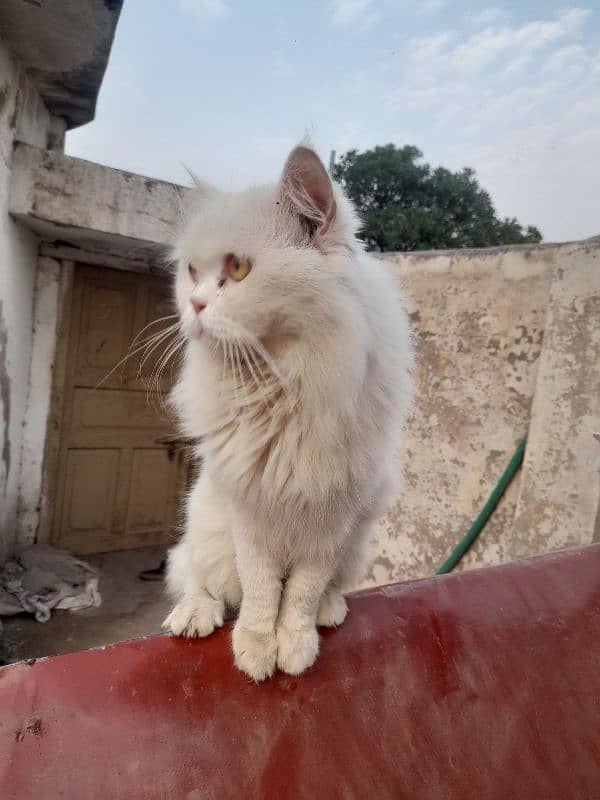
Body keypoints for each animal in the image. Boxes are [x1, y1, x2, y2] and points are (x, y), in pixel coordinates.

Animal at [162, 145, 412, 680]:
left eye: (237, 269)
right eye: (191, 272)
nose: (194, 306)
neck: (281, 385)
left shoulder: (332, 517)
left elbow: (301, 591)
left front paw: (295, 647)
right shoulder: (250, 510)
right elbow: (260, 591)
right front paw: (257, 652)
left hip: (357, 543)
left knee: (329, 586)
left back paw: (330, 611)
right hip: (204, 523)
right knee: (196, 576)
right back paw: (194, 615)